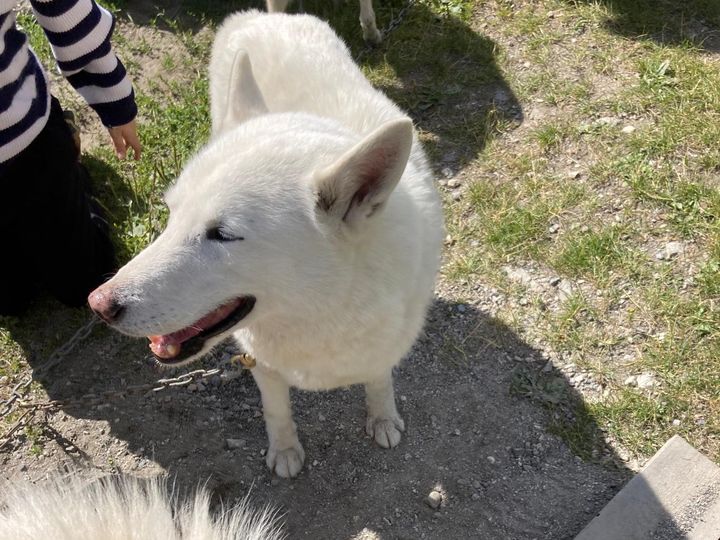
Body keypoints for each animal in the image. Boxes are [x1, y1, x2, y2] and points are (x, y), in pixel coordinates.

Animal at [87, 11, 442, 476]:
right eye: (171, 215)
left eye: (222, 235)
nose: (98, 305)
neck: (321, 310)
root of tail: (265, 16)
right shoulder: (264, 365)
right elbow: (277, 411)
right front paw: (286, 451)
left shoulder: (384, 348)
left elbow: (379, 382)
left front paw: (382, 418)